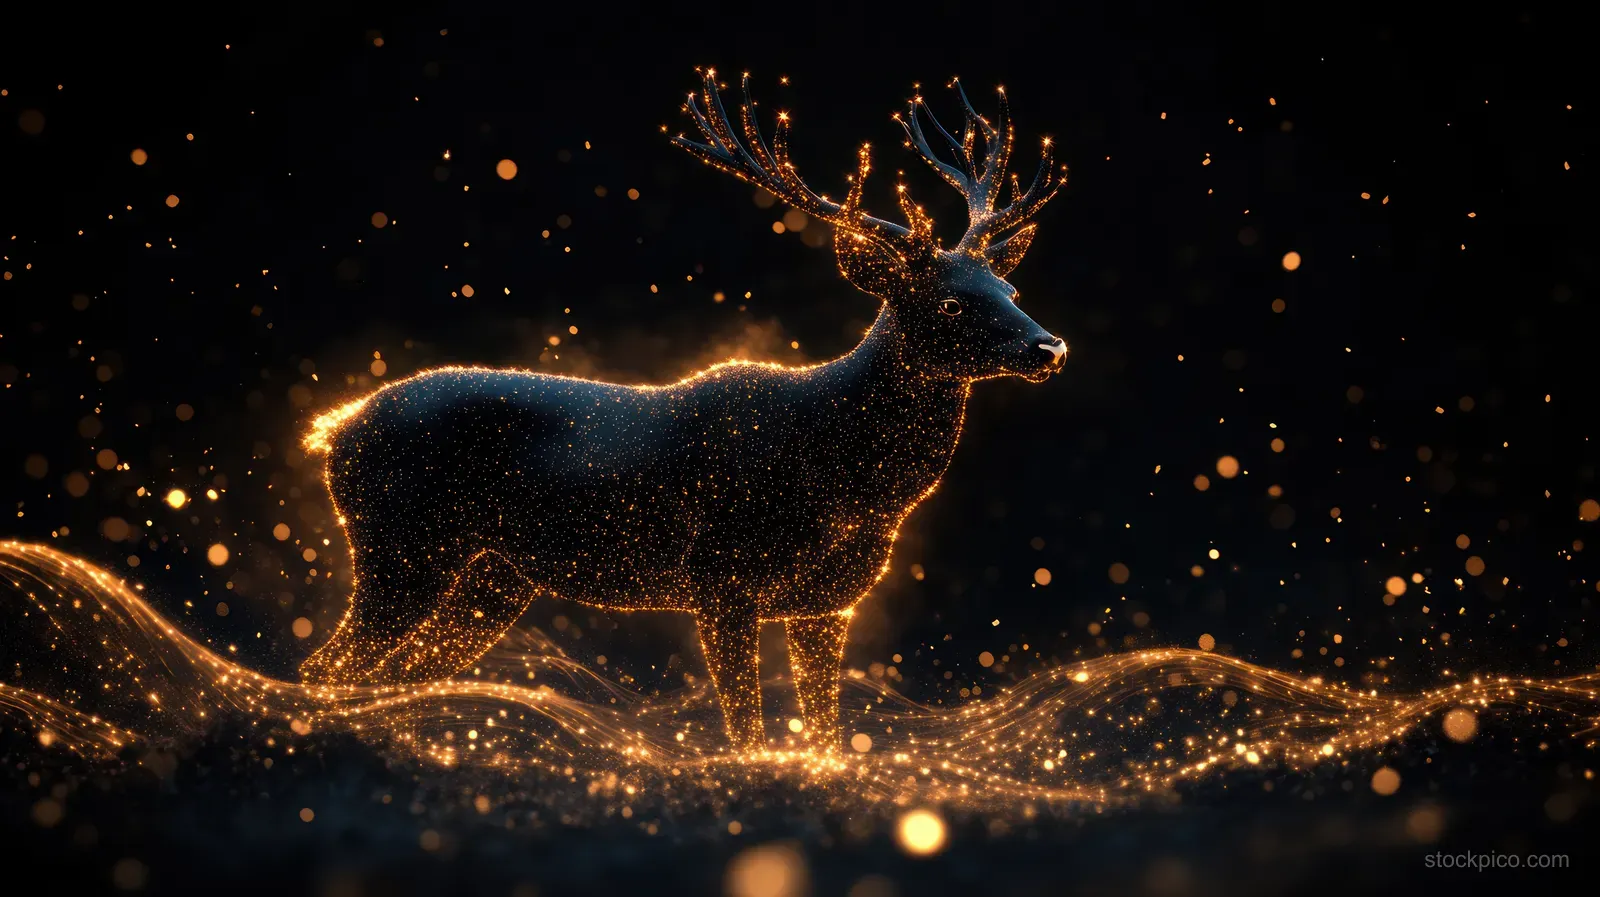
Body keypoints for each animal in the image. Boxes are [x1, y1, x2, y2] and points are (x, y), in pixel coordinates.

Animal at [299, 70, 1069, 753]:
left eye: (1009, 286)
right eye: (950, 301)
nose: (1050, 346)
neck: (844, 475)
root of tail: (336, 427)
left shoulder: (828, 600)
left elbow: (826, 735)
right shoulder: (719, 575)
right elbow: (746, 729)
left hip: (494, 575)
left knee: (403, 670)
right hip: (398, 544)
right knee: (327, 665)